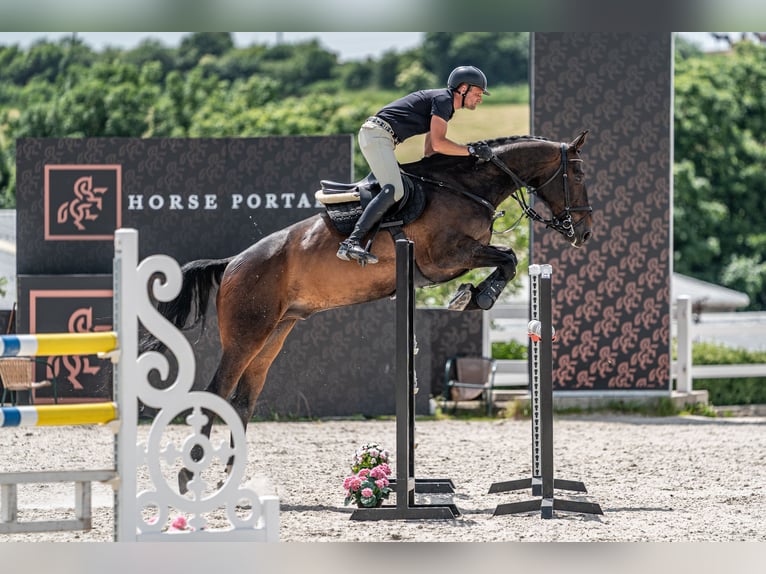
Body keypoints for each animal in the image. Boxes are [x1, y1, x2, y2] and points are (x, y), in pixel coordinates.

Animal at [148, 131, 593, 492]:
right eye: (578, 174)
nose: (584, 234)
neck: (467, 188)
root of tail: (233, 264)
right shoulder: (448, 256)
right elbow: (508, 257)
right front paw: (476, 297)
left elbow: (505, 259)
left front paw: (471, 294)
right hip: (246, 334)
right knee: (217, 393)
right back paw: (190, 474)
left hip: (274, 334)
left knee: (243, 400)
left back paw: (232, 475)